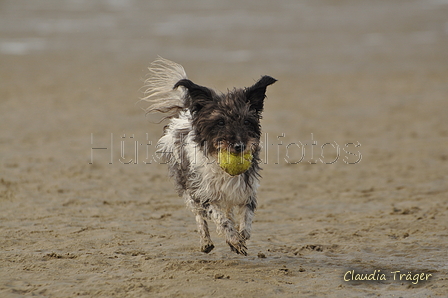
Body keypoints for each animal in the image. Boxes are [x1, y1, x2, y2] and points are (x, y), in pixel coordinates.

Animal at [144, 58, 276, 256]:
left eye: (246, 121)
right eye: (220, 122)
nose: (239, 146)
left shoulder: (246, 190)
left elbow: (246, 221)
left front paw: (239, 238)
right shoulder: (203, 192)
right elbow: (220, 219)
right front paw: (234, 239)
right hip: (187, 188)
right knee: (199, 216)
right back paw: (206, 242)